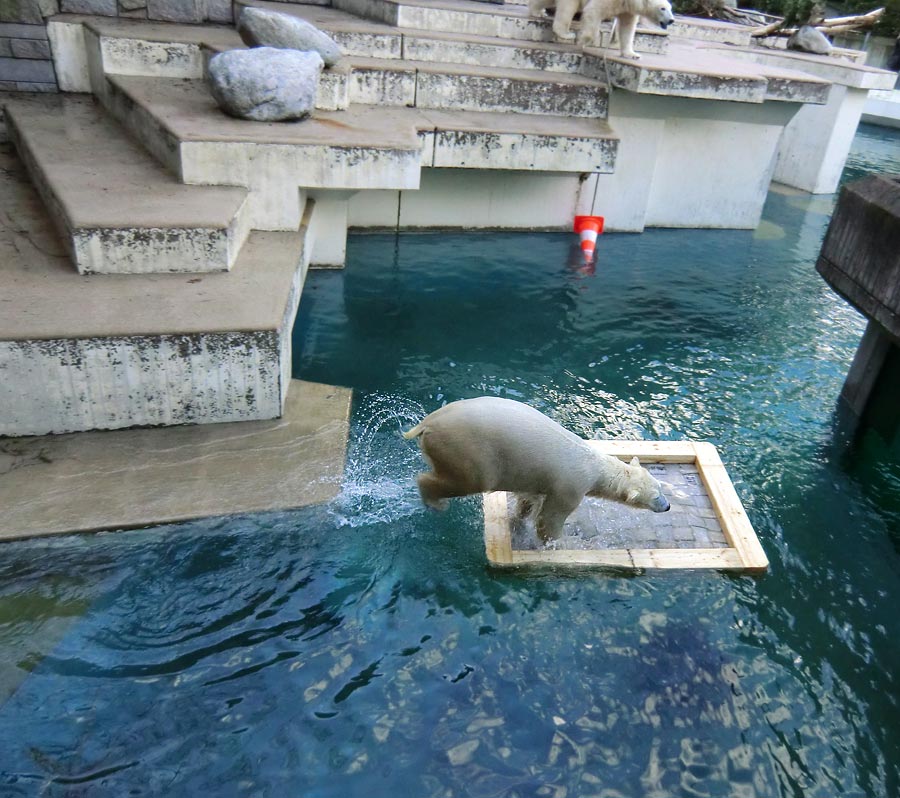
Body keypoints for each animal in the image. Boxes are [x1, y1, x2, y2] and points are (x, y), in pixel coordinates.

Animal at [528, 0, 676, 60]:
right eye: (662, 8)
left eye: (670, 8)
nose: (671, 20)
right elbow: (593, 11)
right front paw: (583, 40)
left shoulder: (628, 9)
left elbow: (627, 28)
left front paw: (632, 54)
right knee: (568, 8)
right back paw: (566, 34)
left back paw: (537, 11)